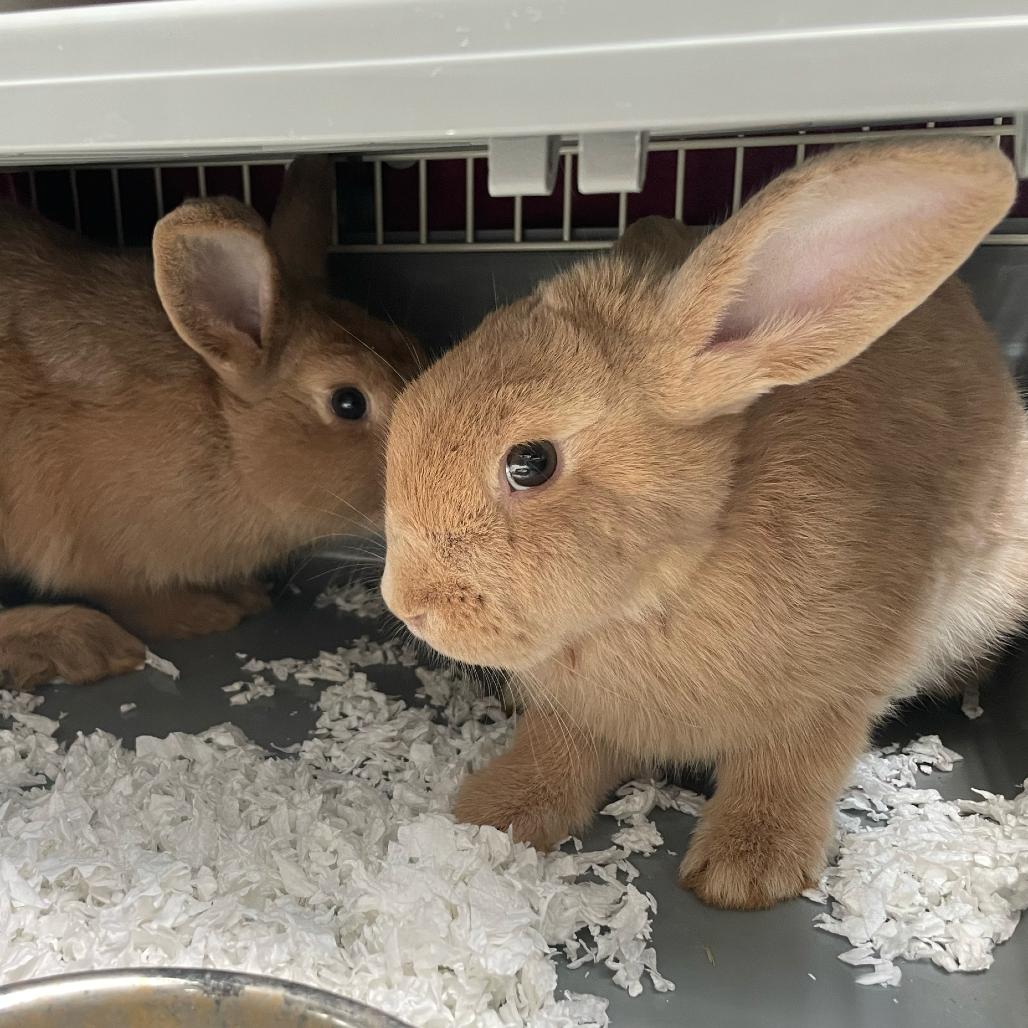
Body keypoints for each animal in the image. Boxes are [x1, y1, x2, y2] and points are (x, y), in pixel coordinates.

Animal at [0, 156, 421, 692]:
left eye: (411, 342)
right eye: (348, 402)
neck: (227, 436)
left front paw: (244, 595)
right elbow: (136, 598)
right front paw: (208, 614)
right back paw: (77, 643)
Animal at [380, 138, 1027, 910]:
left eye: (530, 463)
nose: (406, 604)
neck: (671, 578)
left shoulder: (834, 696)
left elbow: (793, 766)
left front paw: (744, 874)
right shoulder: (579, 716)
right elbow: (555, 752)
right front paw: (491, 816)